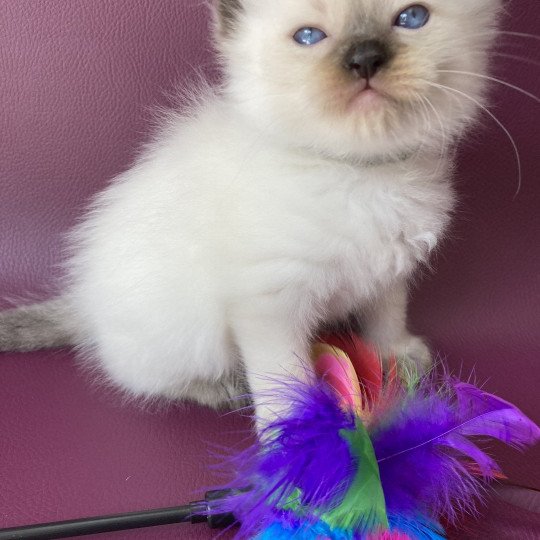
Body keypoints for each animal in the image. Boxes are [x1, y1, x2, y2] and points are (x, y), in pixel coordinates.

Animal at [0, 2, 502, 428]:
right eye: (308, 36)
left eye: (412, 17)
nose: (365, 59)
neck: (361, 172)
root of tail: (83, 303)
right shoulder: (270, 304)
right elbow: (284, 376)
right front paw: (296, 435)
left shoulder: (389, 271)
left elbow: (386, 317)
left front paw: (394, 354)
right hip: (189, 336)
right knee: (145, 377)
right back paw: (219, 387)